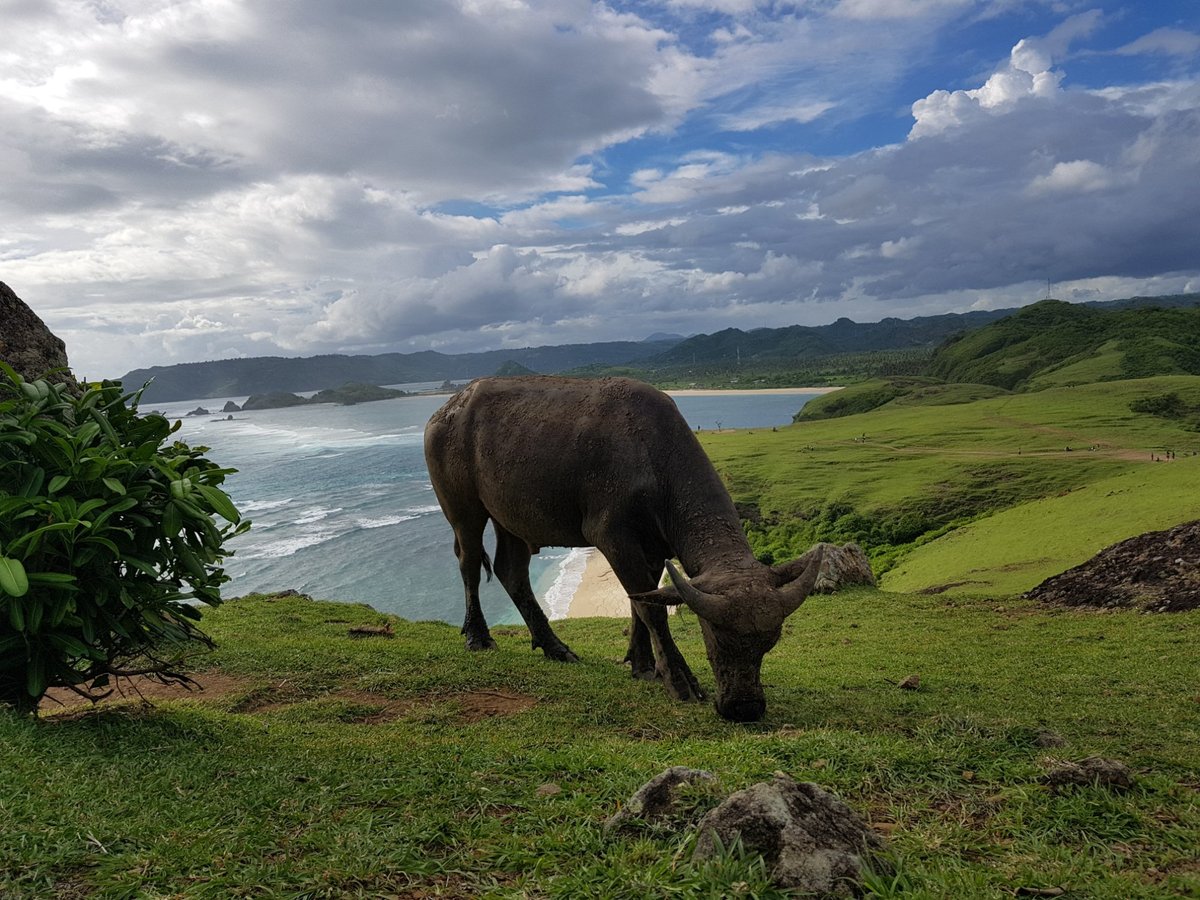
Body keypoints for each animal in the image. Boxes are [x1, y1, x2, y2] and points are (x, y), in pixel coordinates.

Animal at [424, 374, 825, 724]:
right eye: (714, 635)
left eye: (769, 643)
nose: (744, 708)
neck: (653, 458)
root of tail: (445, 412)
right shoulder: (614, 538)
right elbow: (651, 609)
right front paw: (678, 679)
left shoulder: (652, 548)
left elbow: (640, 601)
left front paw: (643, 664)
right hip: (464, 509)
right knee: (469, 561)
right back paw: (478, 637)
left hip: (513, 519)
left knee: (512, 571)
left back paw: (555, 647)